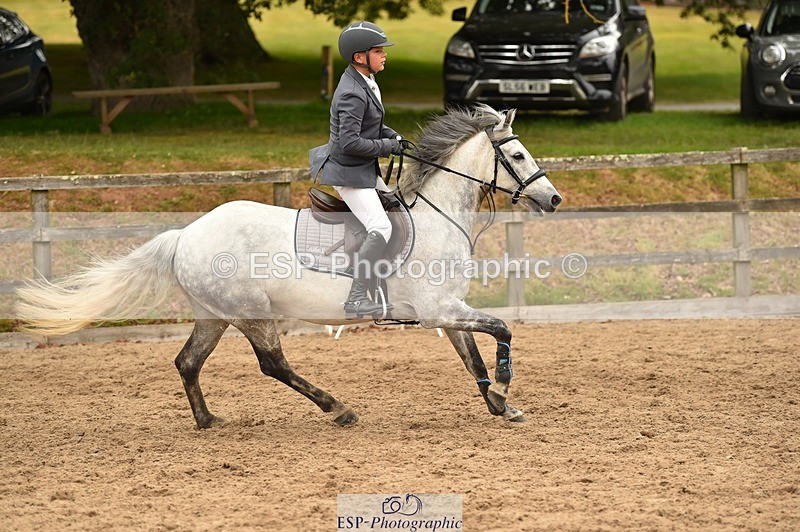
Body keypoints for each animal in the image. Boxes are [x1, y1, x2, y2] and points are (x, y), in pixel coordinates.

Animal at [16, 104, 562, 429]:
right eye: (517, 154)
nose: (554, 199)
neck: (438, 215)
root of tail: (186, 234)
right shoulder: (438, 310)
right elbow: (502, 330)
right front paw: (506, 389)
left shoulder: (448, 311)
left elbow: (473, 358)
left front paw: (501, 405)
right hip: (252, 313)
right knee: (272, 363)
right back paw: (338, 409)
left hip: (216, 314)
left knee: (188, 361)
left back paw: (208, 421)